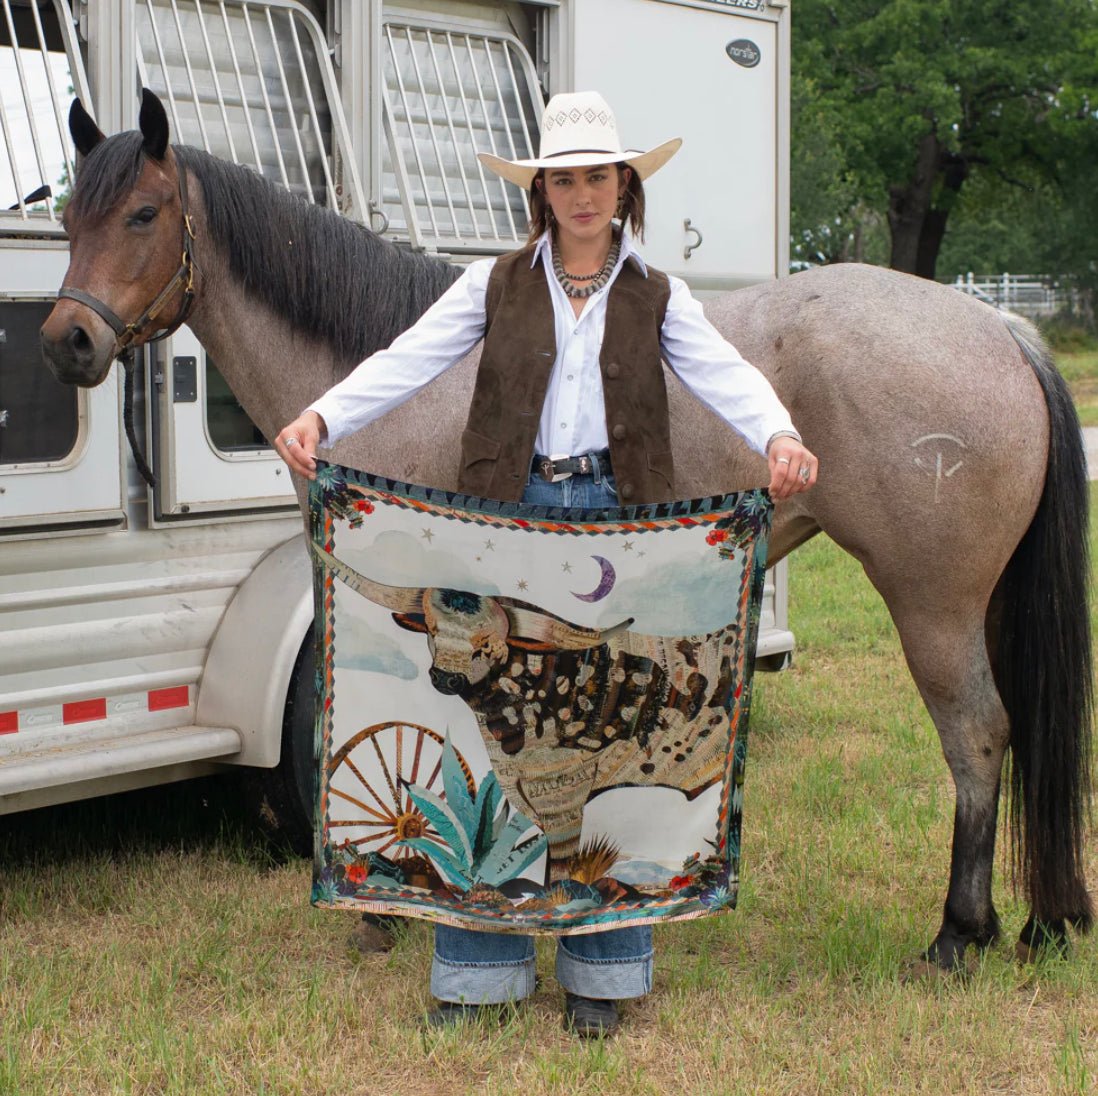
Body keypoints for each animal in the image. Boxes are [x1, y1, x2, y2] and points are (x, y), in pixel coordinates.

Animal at [40, 90, 1089, 975]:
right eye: (67, 219)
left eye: (142, 214)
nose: (67, 343)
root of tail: (1002, 331)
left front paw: (388, 910)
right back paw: (1035, 922)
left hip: (933, 603)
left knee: (976, 734)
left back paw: (957, 937)